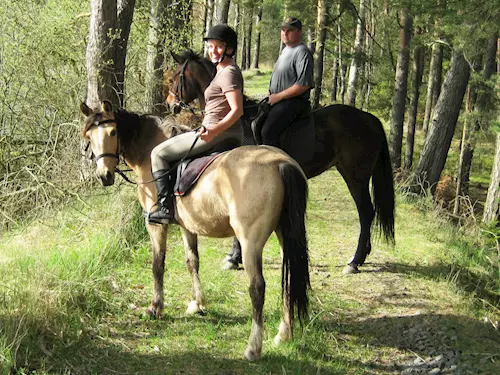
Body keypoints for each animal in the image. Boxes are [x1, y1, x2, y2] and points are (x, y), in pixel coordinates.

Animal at [80, 100, 310, 362]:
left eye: (112, 132)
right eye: (89, 135)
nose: (104, 175)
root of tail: (280, 162)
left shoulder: (155, 225)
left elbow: (157, 265)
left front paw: (155, 307)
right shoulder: (187, 226)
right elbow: (192, 261)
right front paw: (196, 304)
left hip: (250, 241)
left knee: (257, 288)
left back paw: (253, 348)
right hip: (284, 234)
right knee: (288, 278)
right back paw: (283, 335)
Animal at [164, 49, 394, 274]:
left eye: (175, 77)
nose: (170, 104)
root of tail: (370, 119)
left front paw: (234, 257)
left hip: (355, 176)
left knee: (366, 212)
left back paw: (354, 261)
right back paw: (361, 257)